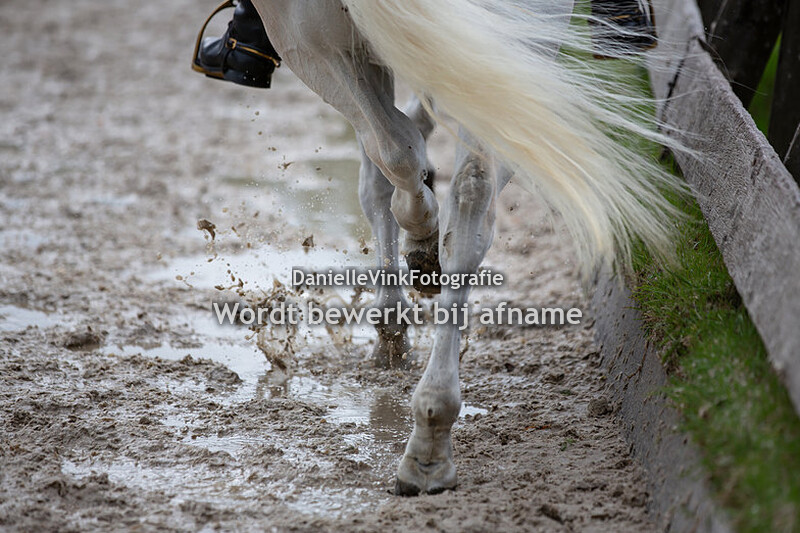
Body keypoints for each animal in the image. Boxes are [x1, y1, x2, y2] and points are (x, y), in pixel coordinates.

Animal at [247, 0, 684, 495]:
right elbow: (402, 151)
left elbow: (389, 162)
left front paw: (406, 286)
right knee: (464, 185)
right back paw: (430, 437)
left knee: (412, 158)